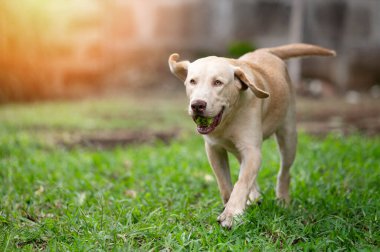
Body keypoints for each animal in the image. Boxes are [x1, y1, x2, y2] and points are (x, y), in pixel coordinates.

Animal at [168, 43, 334, 228]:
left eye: (218, 82)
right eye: (192, 81)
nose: (197, 105)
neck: (229, 117)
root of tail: (265, 51)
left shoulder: (252, 150)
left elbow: (242, 182)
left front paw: (232, 213)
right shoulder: (214, 149)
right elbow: (224, 183)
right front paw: (230, 205)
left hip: (288, 135)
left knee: (284, 172)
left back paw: (283, 200)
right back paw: (254, 196)